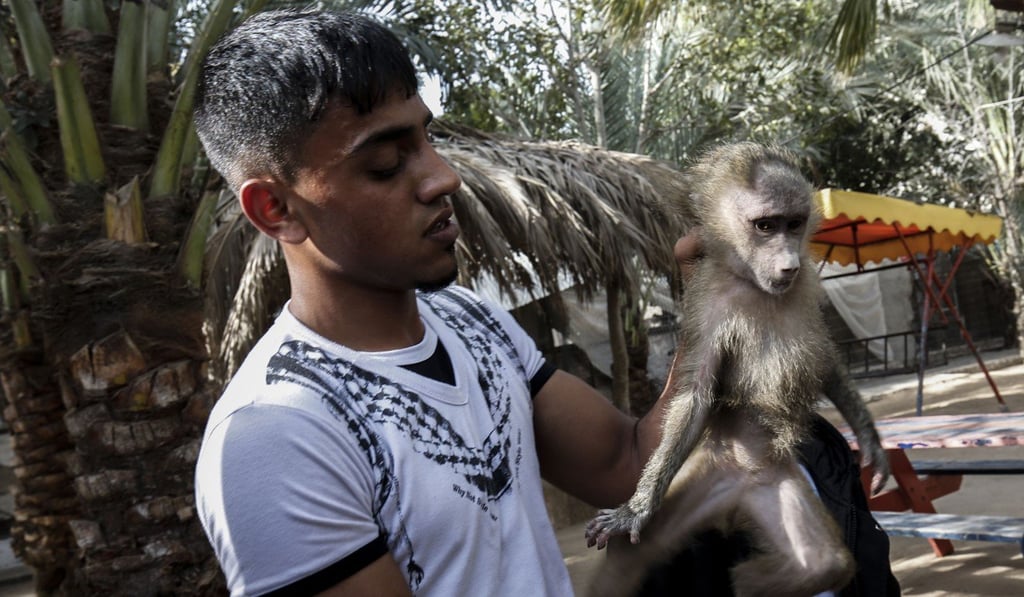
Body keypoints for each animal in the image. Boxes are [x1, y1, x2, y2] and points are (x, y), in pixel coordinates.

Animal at [583, 142, 891, 597]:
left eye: (794, 224)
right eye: (765, 226)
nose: (788, 264)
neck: (751, 284)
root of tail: (740, 481)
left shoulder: (805, 286)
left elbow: (827, 363)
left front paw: (871, 443)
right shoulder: (707, 304)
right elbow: (695, 395)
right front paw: (636, 509)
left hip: (774, 484)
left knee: (820, 564)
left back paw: (744, 580)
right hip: (711, 470)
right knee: (629, 557)